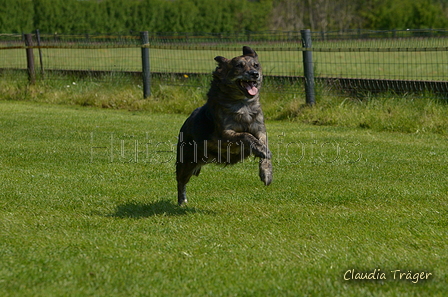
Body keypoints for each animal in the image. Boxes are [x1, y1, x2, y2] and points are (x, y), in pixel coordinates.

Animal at [177, 46, 272, 205]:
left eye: (256, 65)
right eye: (239, 66)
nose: (255, 74)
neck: (243, 104)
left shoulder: (260, 131)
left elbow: (263, 144)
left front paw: (266, 171)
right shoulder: (223, 135)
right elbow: (245, 135)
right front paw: (260, 150)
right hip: (187, 161)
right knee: (181, 181)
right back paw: (181, 201)